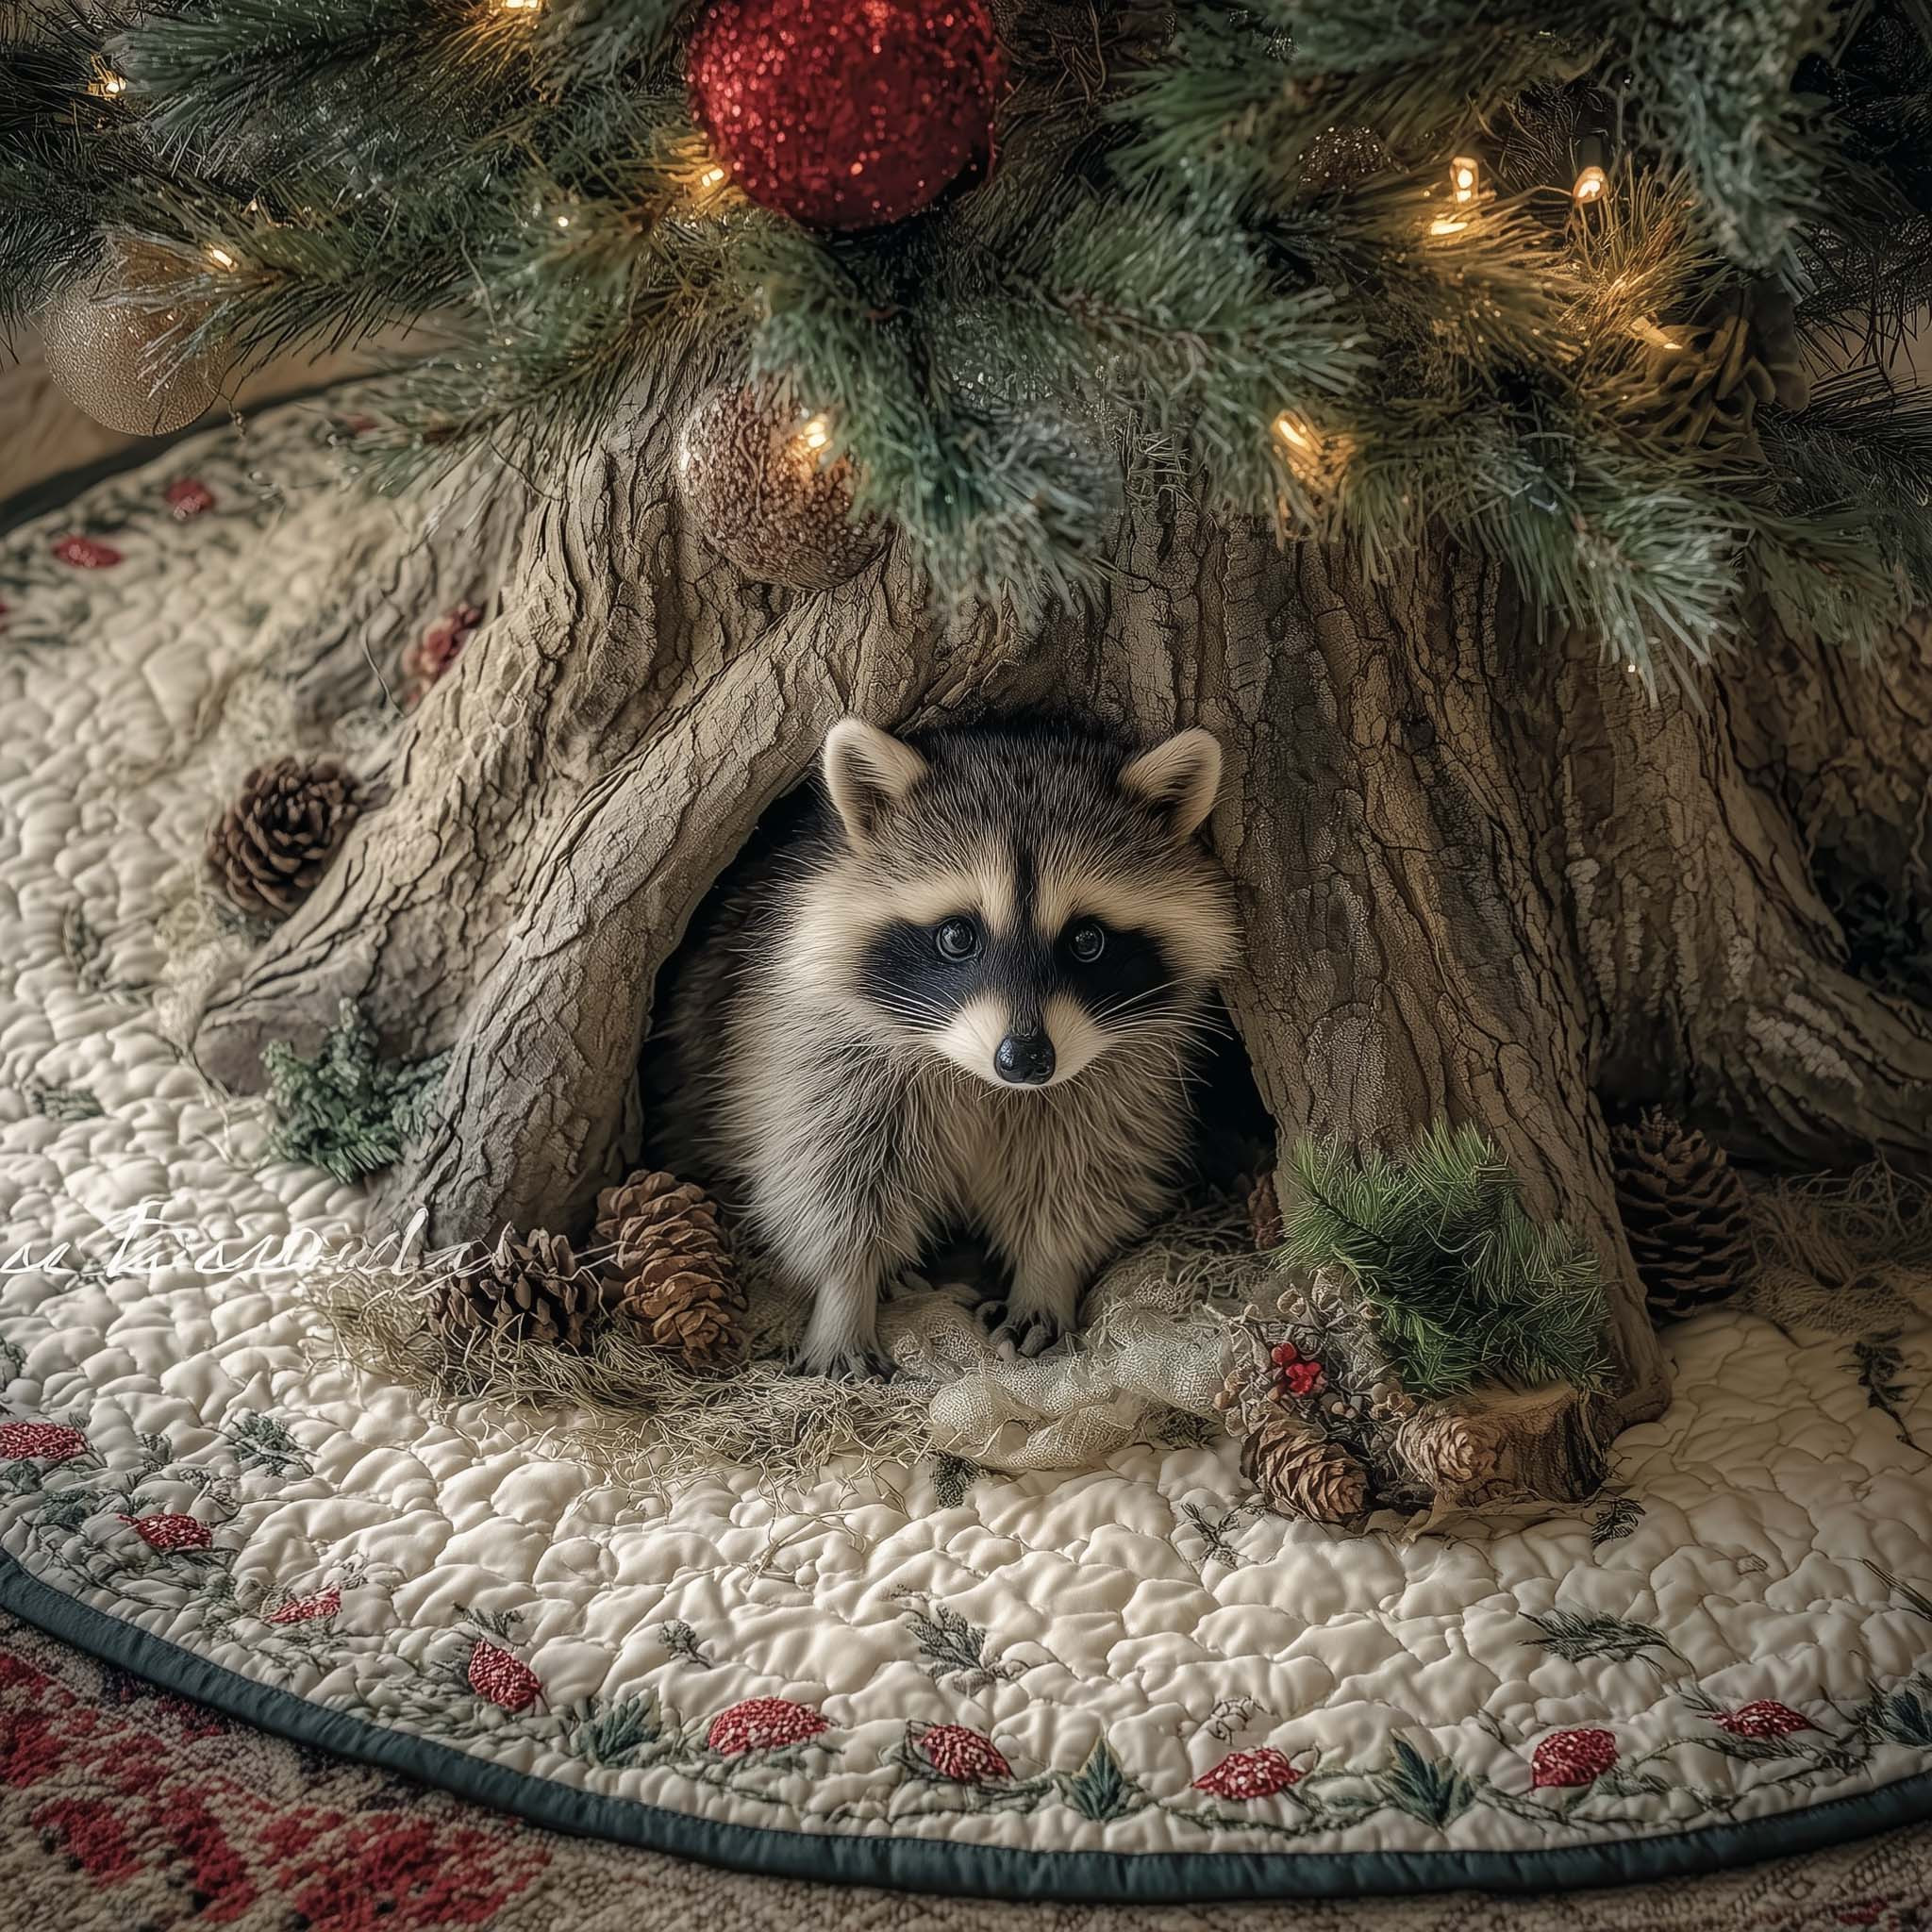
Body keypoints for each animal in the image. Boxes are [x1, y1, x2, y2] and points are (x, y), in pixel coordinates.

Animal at [656, 717, 1240, 1377]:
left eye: (1087, 941)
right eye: (958, 936)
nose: (1025, 1060)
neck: (983, 1081)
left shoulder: (1120, 1077)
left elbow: (1084, 1173)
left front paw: (1047, 1274)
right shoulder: (809, 1043)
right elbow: (823, 1175)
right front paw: (844, 1294)